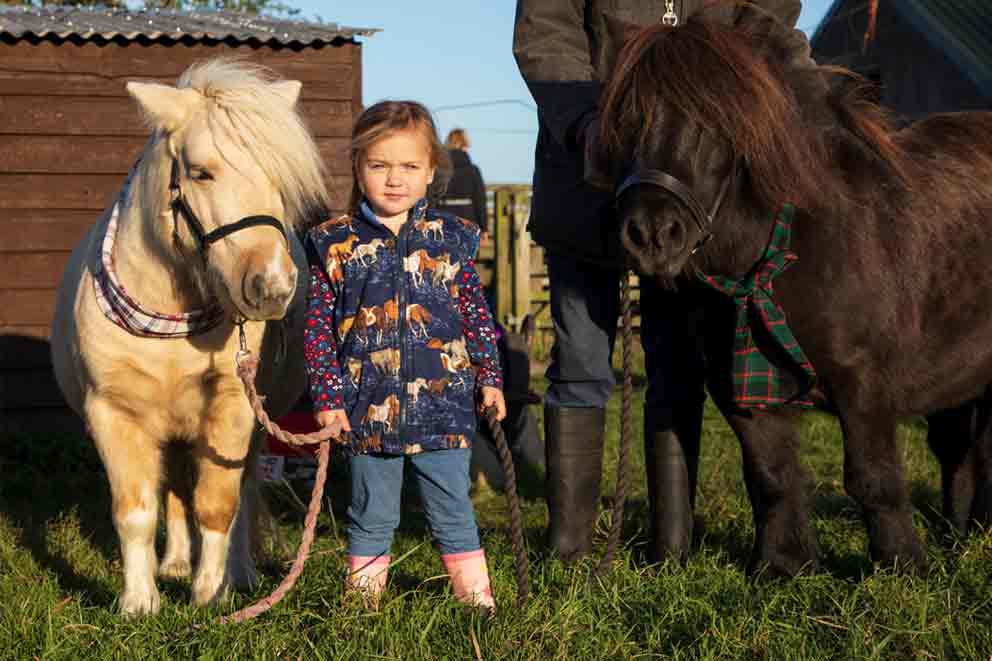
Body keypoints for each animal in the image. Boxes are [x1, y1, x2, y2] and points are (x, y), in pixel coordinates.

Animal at [51, 59, 326, 612]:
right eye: (201, 172)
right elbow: (136, 511)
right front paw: (140, 602)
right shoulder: (113, 413)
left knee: (242, 492)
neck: (171, 325)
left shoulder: (234, 409)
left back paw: (238, 572)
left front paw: (212, 594)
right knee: (174, 490)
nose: (272, 287)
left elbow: (219, 506)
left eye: (279, 179)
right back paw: (175, 562)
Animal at [596, 12, 992, 576]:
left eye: (717, 121)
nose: (651, 232)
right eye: (626, 117)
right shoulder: (742, 392)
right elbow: (771, 475)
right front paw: (782, 565)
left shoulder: (864, 384)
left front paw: (902, 566)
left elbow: (874, 478)